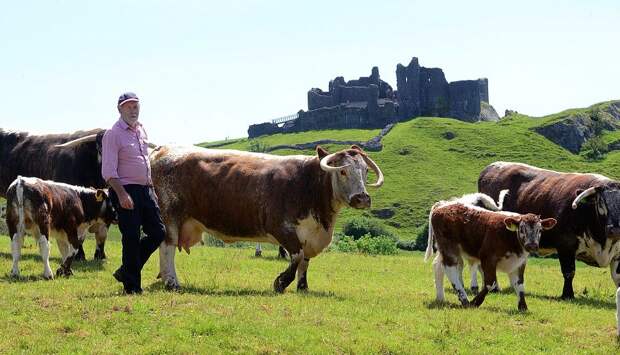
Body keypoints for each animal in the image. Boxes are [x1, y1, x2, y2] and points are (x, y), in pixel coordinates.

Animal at [150, 145, 382, 292]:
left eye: (365, 170)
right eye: (342, 171)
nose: (362, 198)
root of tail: (164, 149)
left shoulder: (309, 235)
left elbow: (304, 263)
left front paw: (303, 287)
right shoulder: (283, 229)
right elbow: (296, 257)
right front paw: (280, 283)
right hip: (170, 216)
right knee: (167, 246)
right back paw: (172, 283)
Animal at [426, 203, 556, 312]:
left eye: (540, 230)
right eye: (522, 229)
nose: (532, 245)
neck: (509, 236)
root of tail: (443, 205)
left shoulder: (519, 263)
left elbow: (519, 284)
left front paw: (523, 306)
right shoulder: (488, 258)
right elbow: (490, 282)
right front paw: (475, 302)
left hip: (446, 249)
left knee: (438, 267)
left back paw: (440, 297)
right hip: (449, 247)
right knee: (450, 269)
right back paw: (465, 300)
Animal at [480, 163, 620, 298]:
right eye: (601, 202)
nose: (615, 230)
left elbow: (617, 277)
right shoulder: (566, 246)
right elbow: (569, 272)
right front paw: (567, 295)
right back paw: (493, 288)